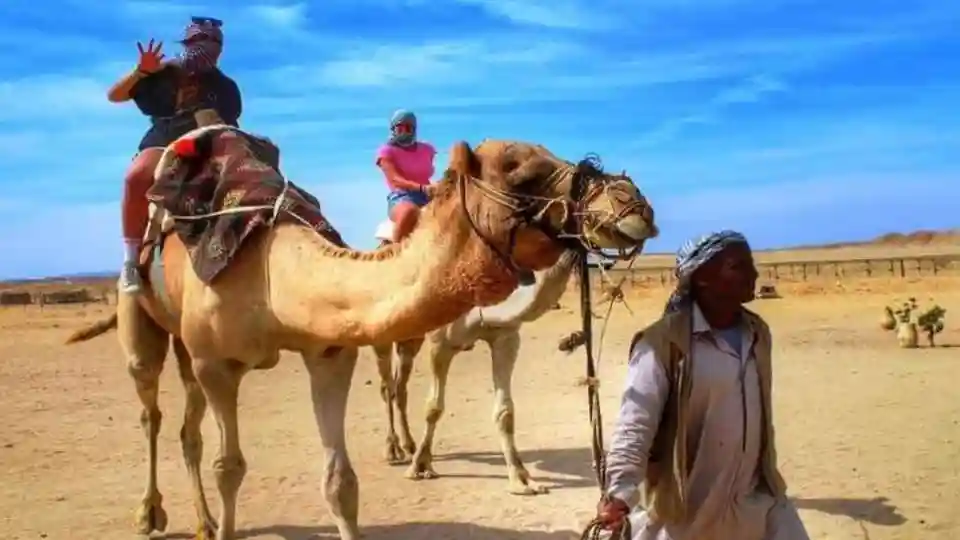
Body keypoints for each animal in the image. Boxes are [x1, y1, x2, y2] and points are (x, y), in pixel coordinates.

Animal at [65, 120, 658, 540]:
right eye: (518, 169)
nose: (635, 204)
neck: (272, 274)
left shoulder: (330, 352)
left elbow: (342, 482)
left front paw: (520, 481)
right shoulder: (219, 364)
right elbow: (229, 465)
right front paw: (422, 465)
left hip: (191, 352)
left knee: (189, 427)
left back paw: (205, 522)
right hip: (146, 326)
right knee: (152, 411)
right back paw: (152, 514)